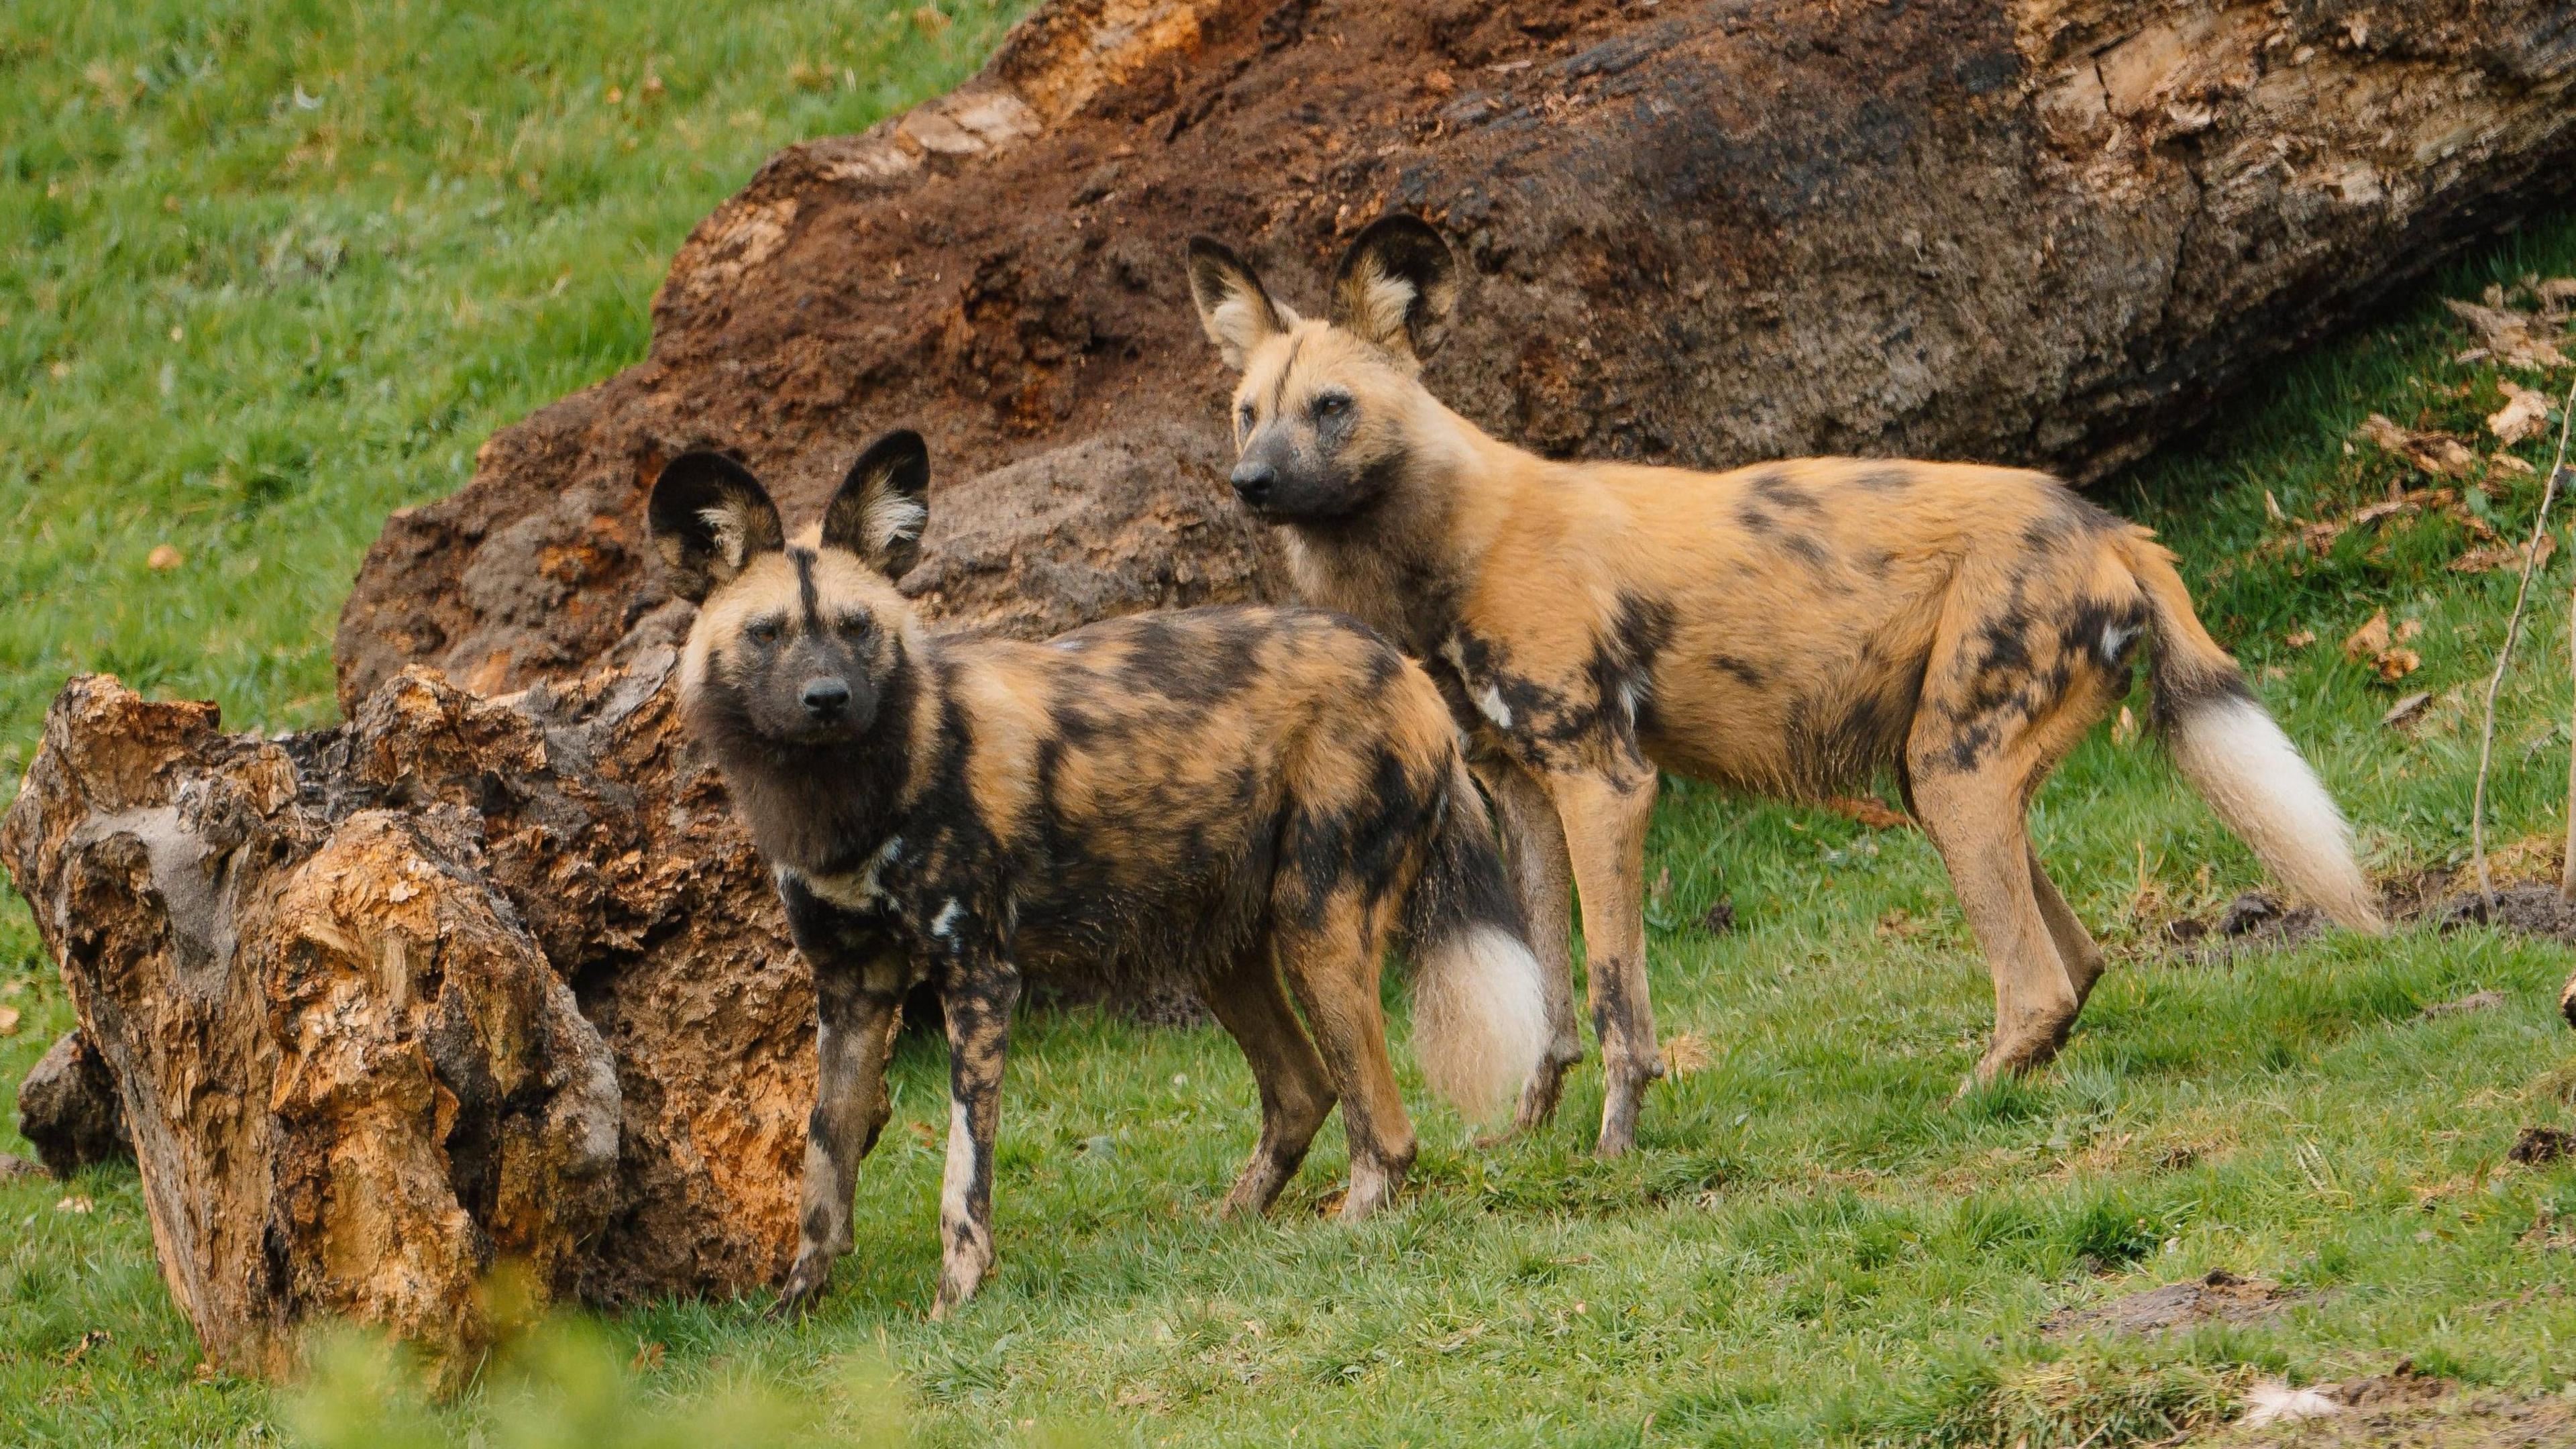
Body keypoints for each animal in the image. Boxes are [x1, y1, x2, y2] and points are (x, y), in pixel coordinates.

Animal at [654, 425, 1556, 1309]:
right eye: (768, 633)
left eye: (855, 628)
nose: (827, 698)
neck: (843, 796)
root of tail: (1405, 671)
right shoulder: (850, 988)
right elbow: (824, 1162)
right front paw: (797, 1308)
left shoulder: (979, 980)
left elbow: (961, 1175)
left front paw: (956, 1304)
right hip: (1219, 949)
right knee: (1303, 1091)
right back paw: (1227, 1229)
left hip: (1317, 930)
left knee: (1386, 1131)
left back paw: (1341, 1237)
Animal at [1179, 220, 2380, 1155]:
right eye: (1246, 411)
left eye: (1332, 407)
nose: (1252, 484)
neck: (1446, 544)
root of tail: (2105, 522)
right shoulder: (1525, 792)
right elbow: (1552, 999)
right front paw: (1528, 1136)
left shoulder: (1606, 785)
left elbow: (1614, 997)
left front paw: (1617, 1147)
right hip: (1938, 779)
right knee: (2076, 965)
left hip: (1953, 772)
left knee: (2038, 978)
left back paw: (1961, 1105)